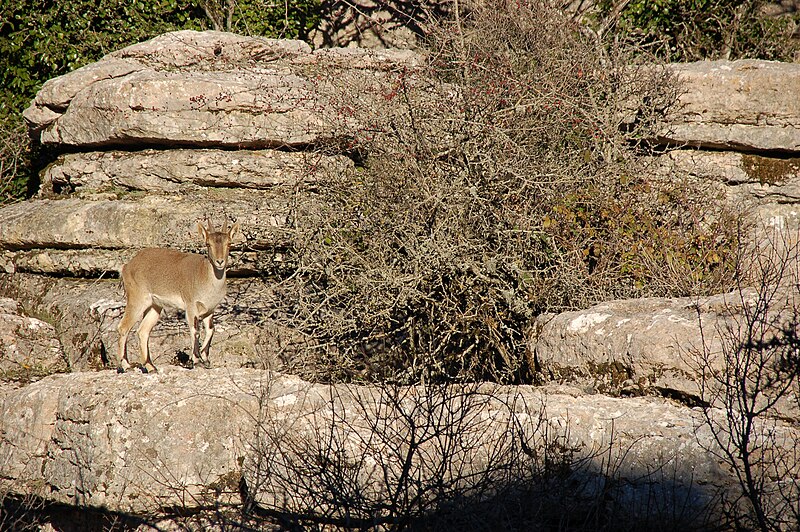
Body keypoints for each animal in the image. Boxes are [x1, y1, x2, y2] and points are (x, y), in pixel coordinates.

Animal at [117, 218, 239, 372]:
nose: (220, 261)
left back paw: (151, 367)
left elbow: (211, 330)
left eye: (229, 243)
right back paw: (127, 365)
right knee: (123, 327)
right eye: (208, 244)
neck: (204, 275)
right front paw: (197, 360)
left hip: (154, 306)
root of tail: (127, 266)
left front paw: (205, 359)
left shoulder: (209, 310)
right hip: (137, 299)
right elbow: (195, 330)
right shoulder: (191, 305)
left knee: (142, 331)